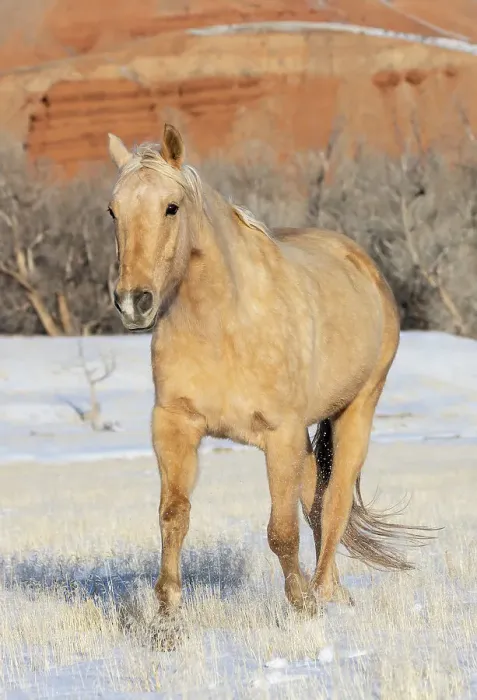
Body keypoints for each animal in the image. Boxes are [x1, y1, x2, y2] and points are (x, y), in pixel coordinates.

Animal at [107, 124, 429, 616]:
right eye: (113, 211)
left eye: (171, 207)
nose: (133, 302)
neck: (225, 323)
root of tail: (364, 265)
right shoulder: (175, 425)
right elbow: (173, 517)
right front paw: (167, 613)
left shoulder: (280, 436)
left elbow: (281, 532)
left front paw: (303, 605)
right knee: (316, 499)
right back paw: (335, 589)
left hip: (356, 411)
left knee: (334, 503)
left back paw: (323, 591)